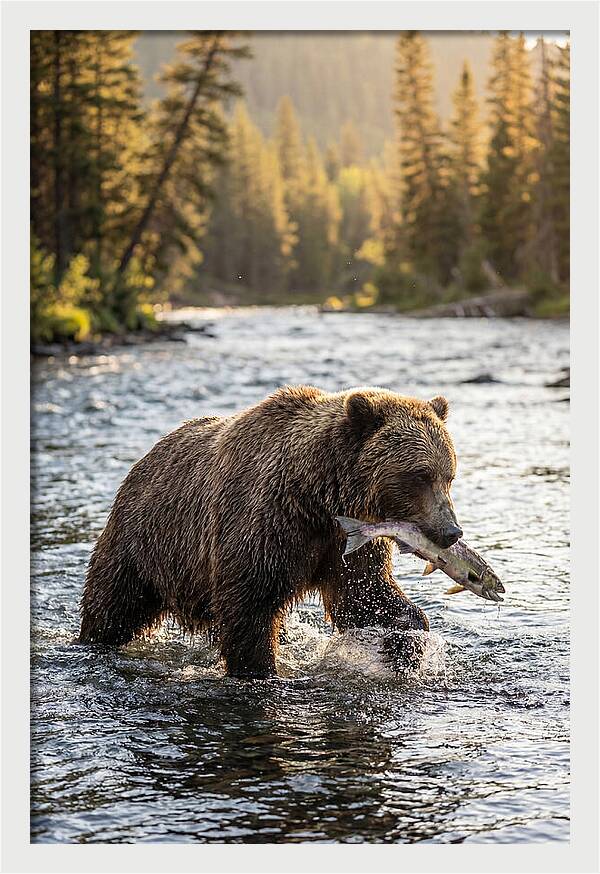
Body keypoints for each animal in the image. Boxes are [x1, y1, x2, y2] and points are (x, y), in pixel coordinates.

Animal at [78, 385, 463, 678]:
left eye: (449, 475)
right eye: (420, 475)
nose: (451, 531)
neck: (318, 496)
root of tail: (144, 458)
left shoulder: (346, 540)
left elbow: (364, 594)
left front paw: (407, 641)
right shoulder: (266, 524)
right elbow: (249, 605)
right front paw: (259, 669)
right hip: (144, 543)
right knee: (113, 605)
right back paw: (92, 641)